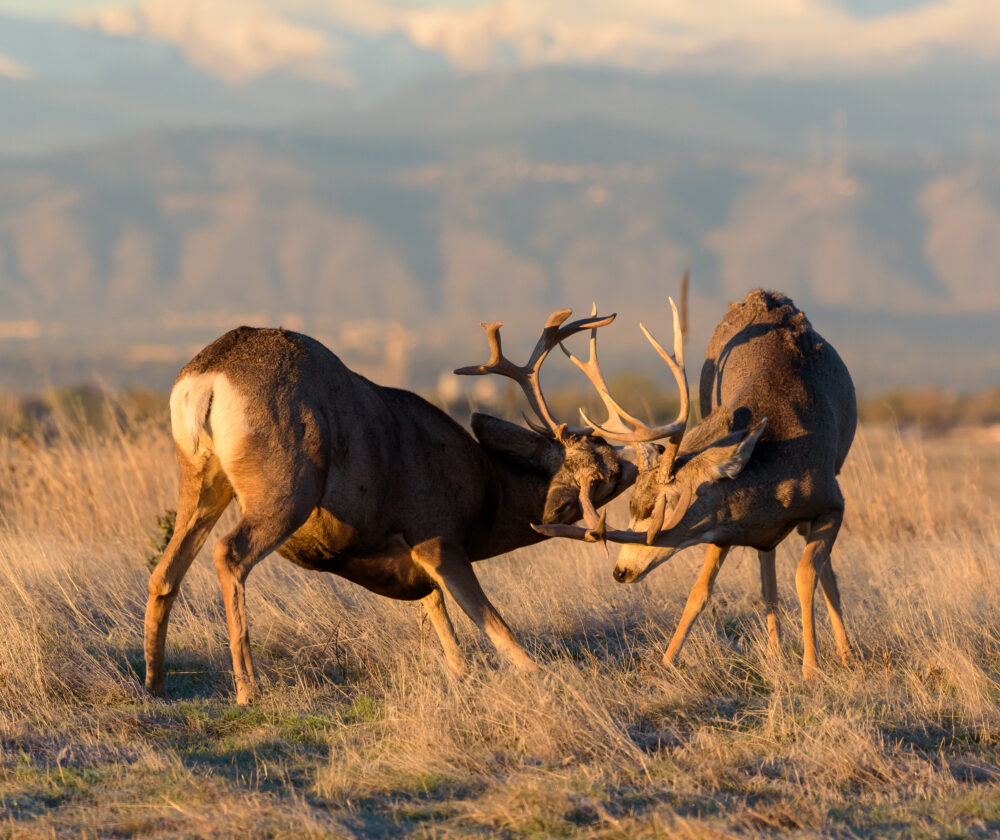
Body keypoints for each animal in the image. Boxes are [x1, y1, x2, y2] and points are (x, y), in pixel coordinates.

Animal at [144, 309, 640, 704]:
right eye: (601, 471)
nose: (634, 463)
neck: (487, 495)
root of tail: (207, 375)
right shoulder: (437, 535)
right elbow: (493, 624)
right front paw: (543, 675)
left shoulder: (413, 559)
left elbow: (436, 610)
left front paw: (461, 674)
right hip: (285, 485)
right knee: (229, 554)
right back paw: (247, 689)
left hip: (201, 477)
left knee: (166, 571)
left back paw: (155, 683)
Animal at [535, 289, 858, 677]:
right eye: (632, 504)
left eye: (663, 505)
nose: (620, 571)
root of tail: (764, 294)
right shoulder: (724, 527)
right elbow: (699, 591)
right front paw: (665, 661)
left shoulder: (833, 503)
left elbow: (808, 574)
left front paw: (811, 668)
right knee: (767, 562)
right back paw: (775, 652)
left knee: (819, 571)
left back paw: (845, 653)